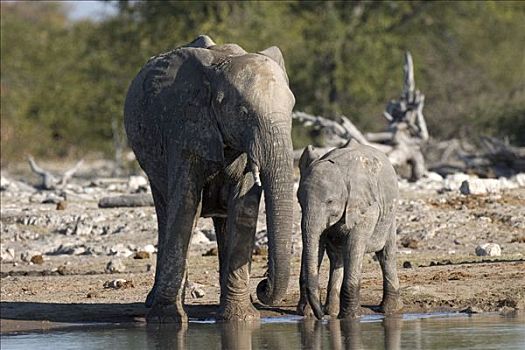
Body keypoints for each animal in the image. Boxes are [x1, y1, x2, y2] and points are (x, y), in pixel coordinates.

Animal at [124, 35, 294, 322]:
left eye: (293, 109)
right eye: (243, 112)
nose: (263, 286)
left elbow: (243, 208)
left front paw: (241, 319)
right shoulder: (183, 127)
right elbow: (185, 204)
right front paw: (167, 319)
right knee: (166, 212)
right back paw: (154, 301)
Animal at [294, 139, 402, 320]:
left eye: (330, 201)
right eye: (299, 200)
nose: (320, 316)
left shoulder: (366, 208)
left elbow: (354, 246)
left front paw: (349, 317)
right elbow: (317, 246)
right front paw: (307, 314)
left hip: (390, 215)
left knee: (386, 254)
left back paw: (389, 310)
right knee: (336, 257)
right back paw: (331, 311)